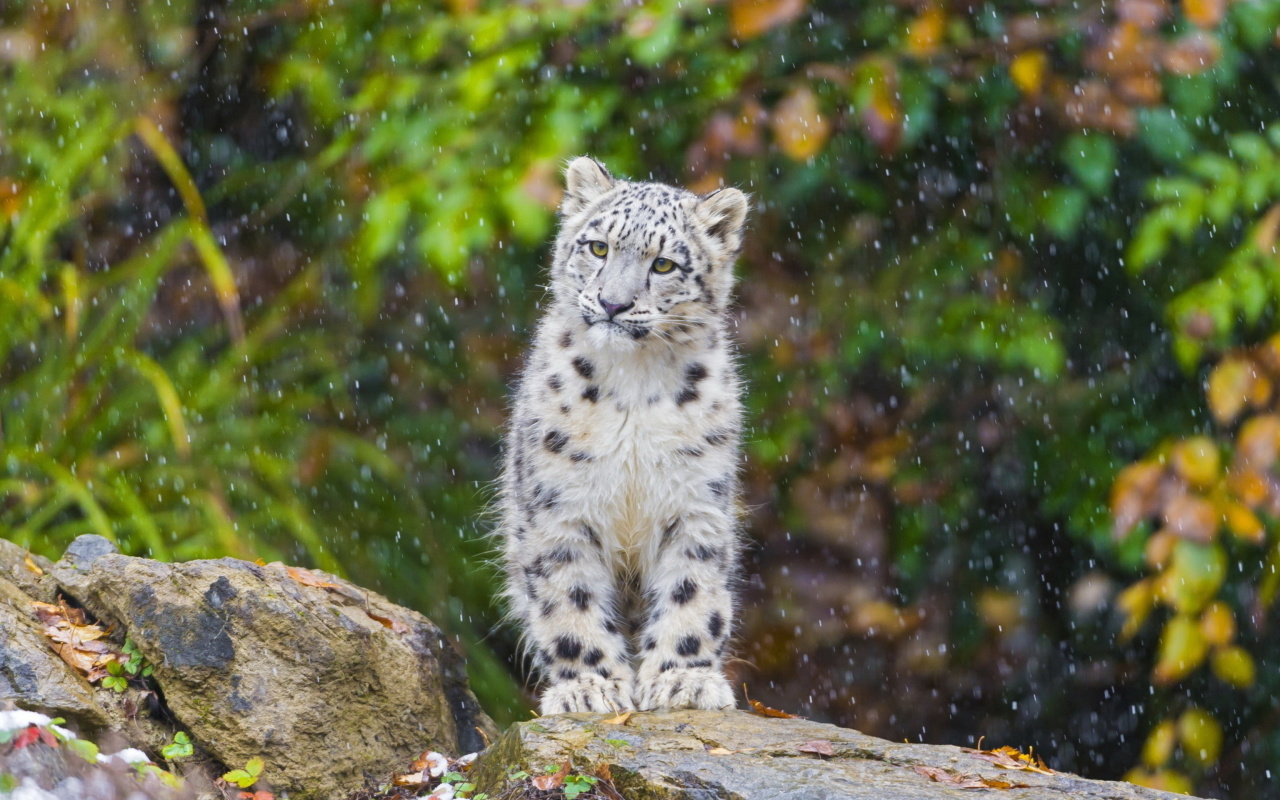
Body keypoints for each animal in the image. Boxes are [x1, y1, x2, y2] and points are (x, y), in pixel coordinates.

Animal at [494, 157, 747, 711]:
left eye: (664, 265)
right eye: (598, 247)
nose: (612, 303)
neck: (634, 383)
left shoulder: (695, 503)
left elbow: (692, 590)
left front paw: (682, 678)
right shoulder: (559, 507)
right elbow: (569, 597)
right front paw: (589, 686)